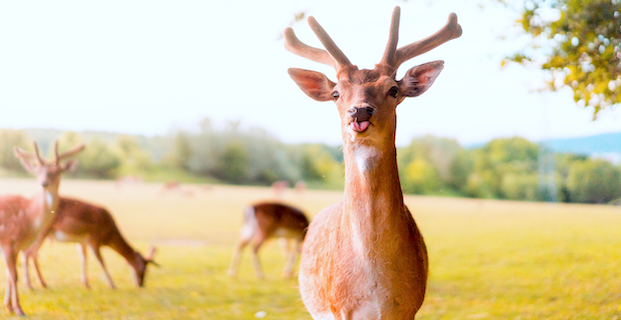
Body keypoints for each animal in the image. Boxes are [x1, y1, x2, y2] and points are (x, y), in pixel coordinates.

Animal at [0, 140, 84, 316]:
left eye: (56, 171)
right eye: (38, 171)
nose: (44, 182)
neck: (28, 218)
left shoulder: (16, 246)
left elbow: (9, 275)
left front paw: (9, 306)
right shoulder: (7, 239)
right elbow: (14, 275)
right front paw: (19, 309)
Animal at [21, 198, 157, 290]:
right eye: (143, 269)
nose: (141, 284)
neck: (108, 235)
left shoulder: (82, 241)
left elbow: (83, 258)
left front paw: (86, 284)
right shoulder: (94, 239)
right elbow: (101, 261)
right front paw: (112, 285)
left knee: (29, 253)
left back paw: (36, 283)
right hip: (42, 231)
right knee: (30, 253)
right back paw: (35, 284)